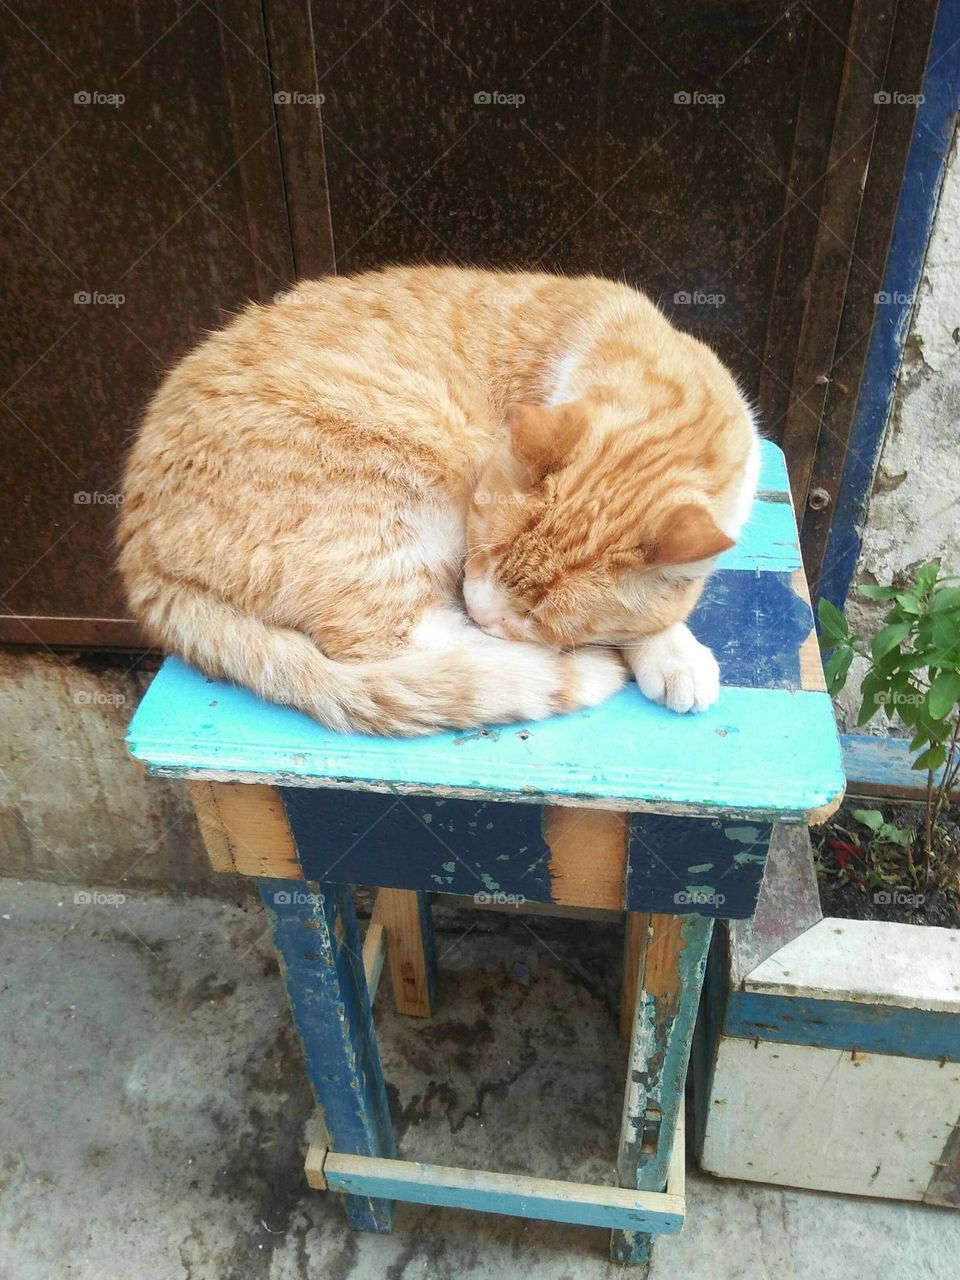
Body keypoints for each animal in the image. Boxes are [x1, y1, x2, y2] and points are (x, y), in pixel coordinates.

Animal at [118, 264, 757, 737]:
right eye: (481, 547)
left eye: (539, 616)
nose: (482, 611)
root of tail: (136, 548)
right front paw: (665, 651)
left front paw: (669, 649)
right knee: (392, 646)